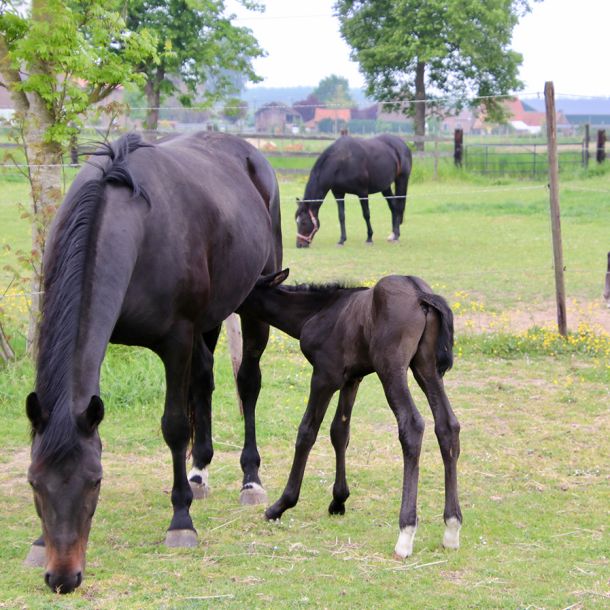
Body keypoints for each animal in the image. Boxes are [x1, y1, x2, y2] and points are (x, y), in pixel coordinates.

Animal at [23, 132, 280, 588]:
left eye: (95, 481)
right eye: (35, 482)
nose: (63, 578)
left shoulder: (176, 338)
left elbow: (174, 426)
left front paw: (181, 522)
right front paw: (38, 543)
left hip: (252, 303)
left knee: (247, 382)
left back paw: (250, 480)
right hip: (208, 321)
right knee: (205, 379)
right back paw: (199, 472)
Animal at [238, 268, 460, 560]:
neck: (319, 310)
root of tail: (420, 293)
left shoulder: (324, 376)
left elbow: (307, 431)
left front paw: (281, 505)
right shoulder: (352, 379)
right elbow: (339, 431)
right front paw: (338, 500)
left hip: (392, 369)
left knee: (412, 426)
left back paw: (405, 534)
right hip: (426, 368)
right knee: (447, 425)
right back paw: (452, 529)